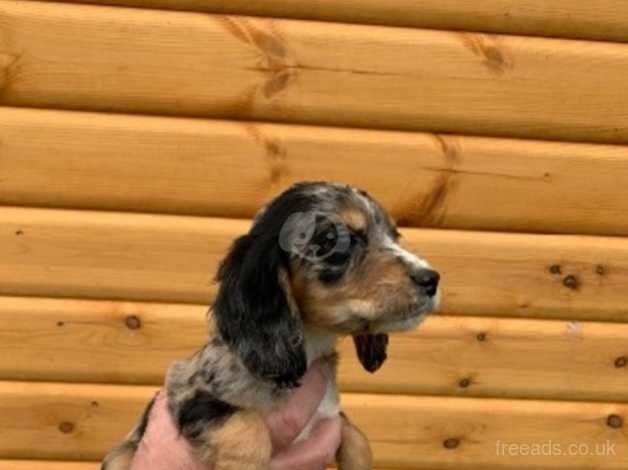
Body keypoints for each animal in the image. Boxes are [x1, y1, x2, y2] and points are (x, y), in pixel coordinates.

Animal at [103, 183, 440, 470]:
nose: (432, 278)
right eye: (332, 240)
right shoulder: (189, 393)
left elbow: (357, 436)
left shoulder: (329, 417)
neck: (308, 348)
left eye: (394, 236)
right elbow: (247, 427)